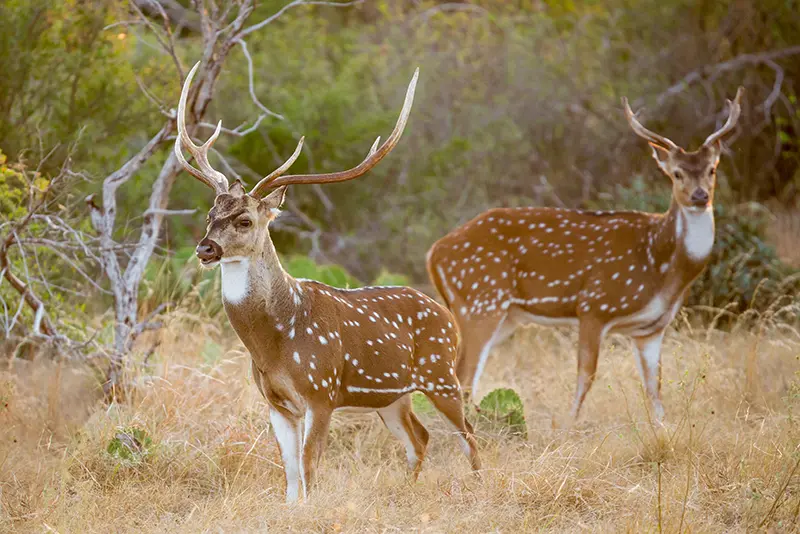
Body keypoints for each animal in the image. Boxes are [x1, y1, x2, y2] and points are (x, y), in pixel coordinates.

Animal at [428, 87, 748, 422]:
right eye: (676, 174)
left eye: (712, 169)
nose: (700, 196)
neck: (661, 269)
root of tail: (434, 253)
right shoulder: (594, 305)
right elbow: (586, 377)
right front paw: (569, 424)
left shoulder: (651, 328)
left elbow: (654, 388)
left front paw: (663, 427)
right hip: (480, 302)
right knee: (462, 377)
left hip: (504, 316)